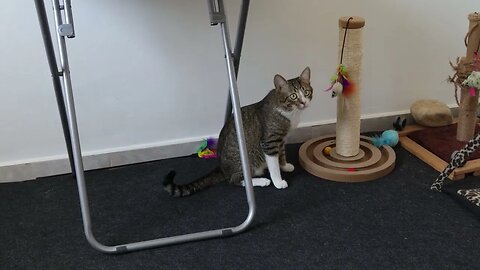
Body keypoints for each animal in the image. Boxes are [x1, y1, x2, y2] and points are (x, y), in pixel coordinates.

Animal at [164, 65, 316, 196]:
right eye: (293, 96)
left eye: (306, 92)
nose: (304, 102)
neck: (290, 112)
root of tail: (222, 169)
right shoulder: (269, 141)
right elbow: (273, 164)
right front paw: (278, 181)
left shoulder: (282, 140)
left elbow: (282, 154)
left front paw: (284, 166)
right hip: (246, 162)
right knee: (235, 180)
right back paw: (262, 181)